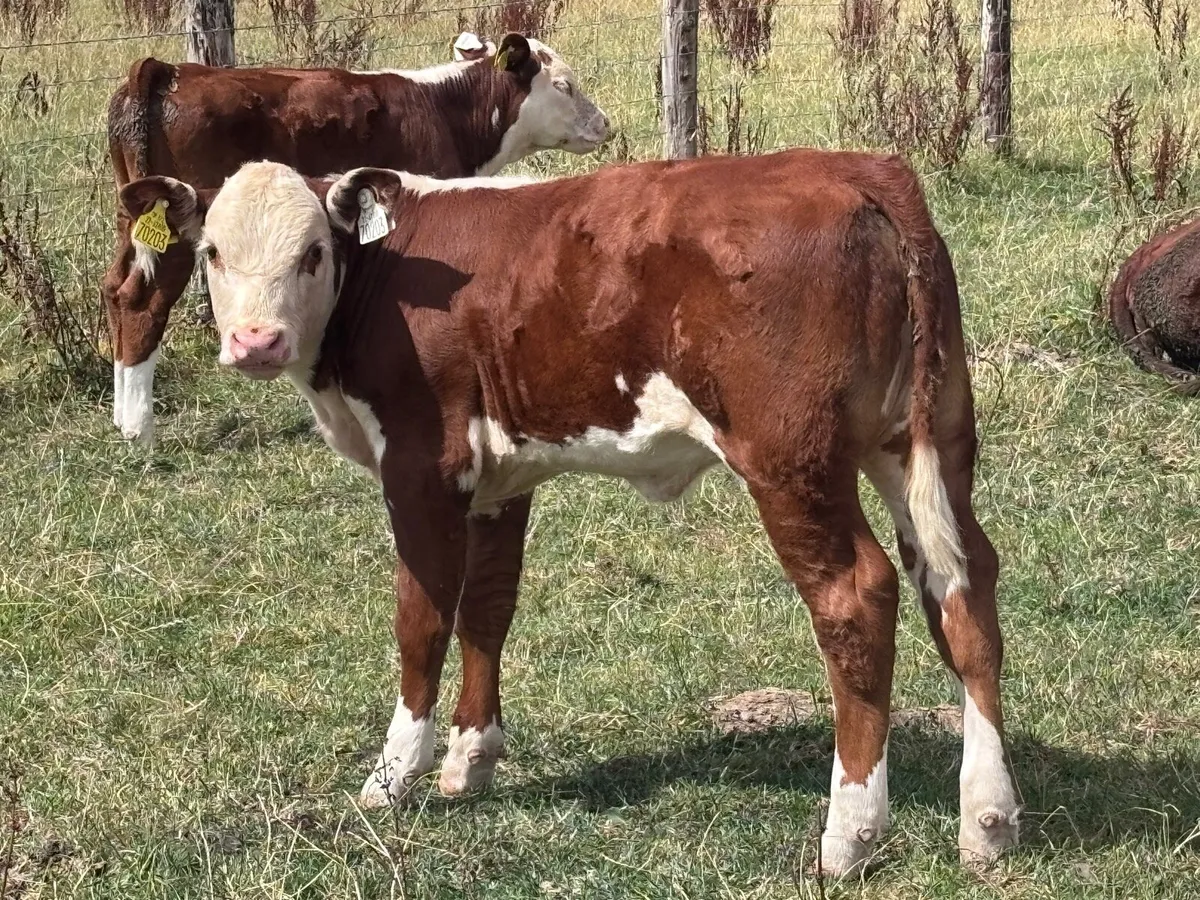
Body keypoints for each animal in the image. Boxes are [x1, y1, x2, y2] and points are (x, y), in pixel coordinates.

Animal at [102, 31, 610, 444]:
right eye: (563, 85)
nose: (604, 124)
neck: (442, 109)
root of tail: (166, 69)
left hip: (133, 218)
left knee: (115, 289)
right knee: (143, 300)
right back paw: (139, 429)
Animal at [120, 149, 1020, 876]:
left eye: (312, 253)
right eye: (212, 252)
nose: (256, 343)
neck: (385, 278)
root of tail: (860, 172)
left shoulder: (421, 468)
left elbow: (422, 618)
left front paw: (394, 774)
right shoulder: (500, 476)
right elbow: (488, 608)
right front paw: (470, 760)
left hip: (790, 461)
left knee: (856, 597)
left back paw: (851, 832)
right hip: (927, 437)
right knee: (965, 584)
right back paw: (988, 818)